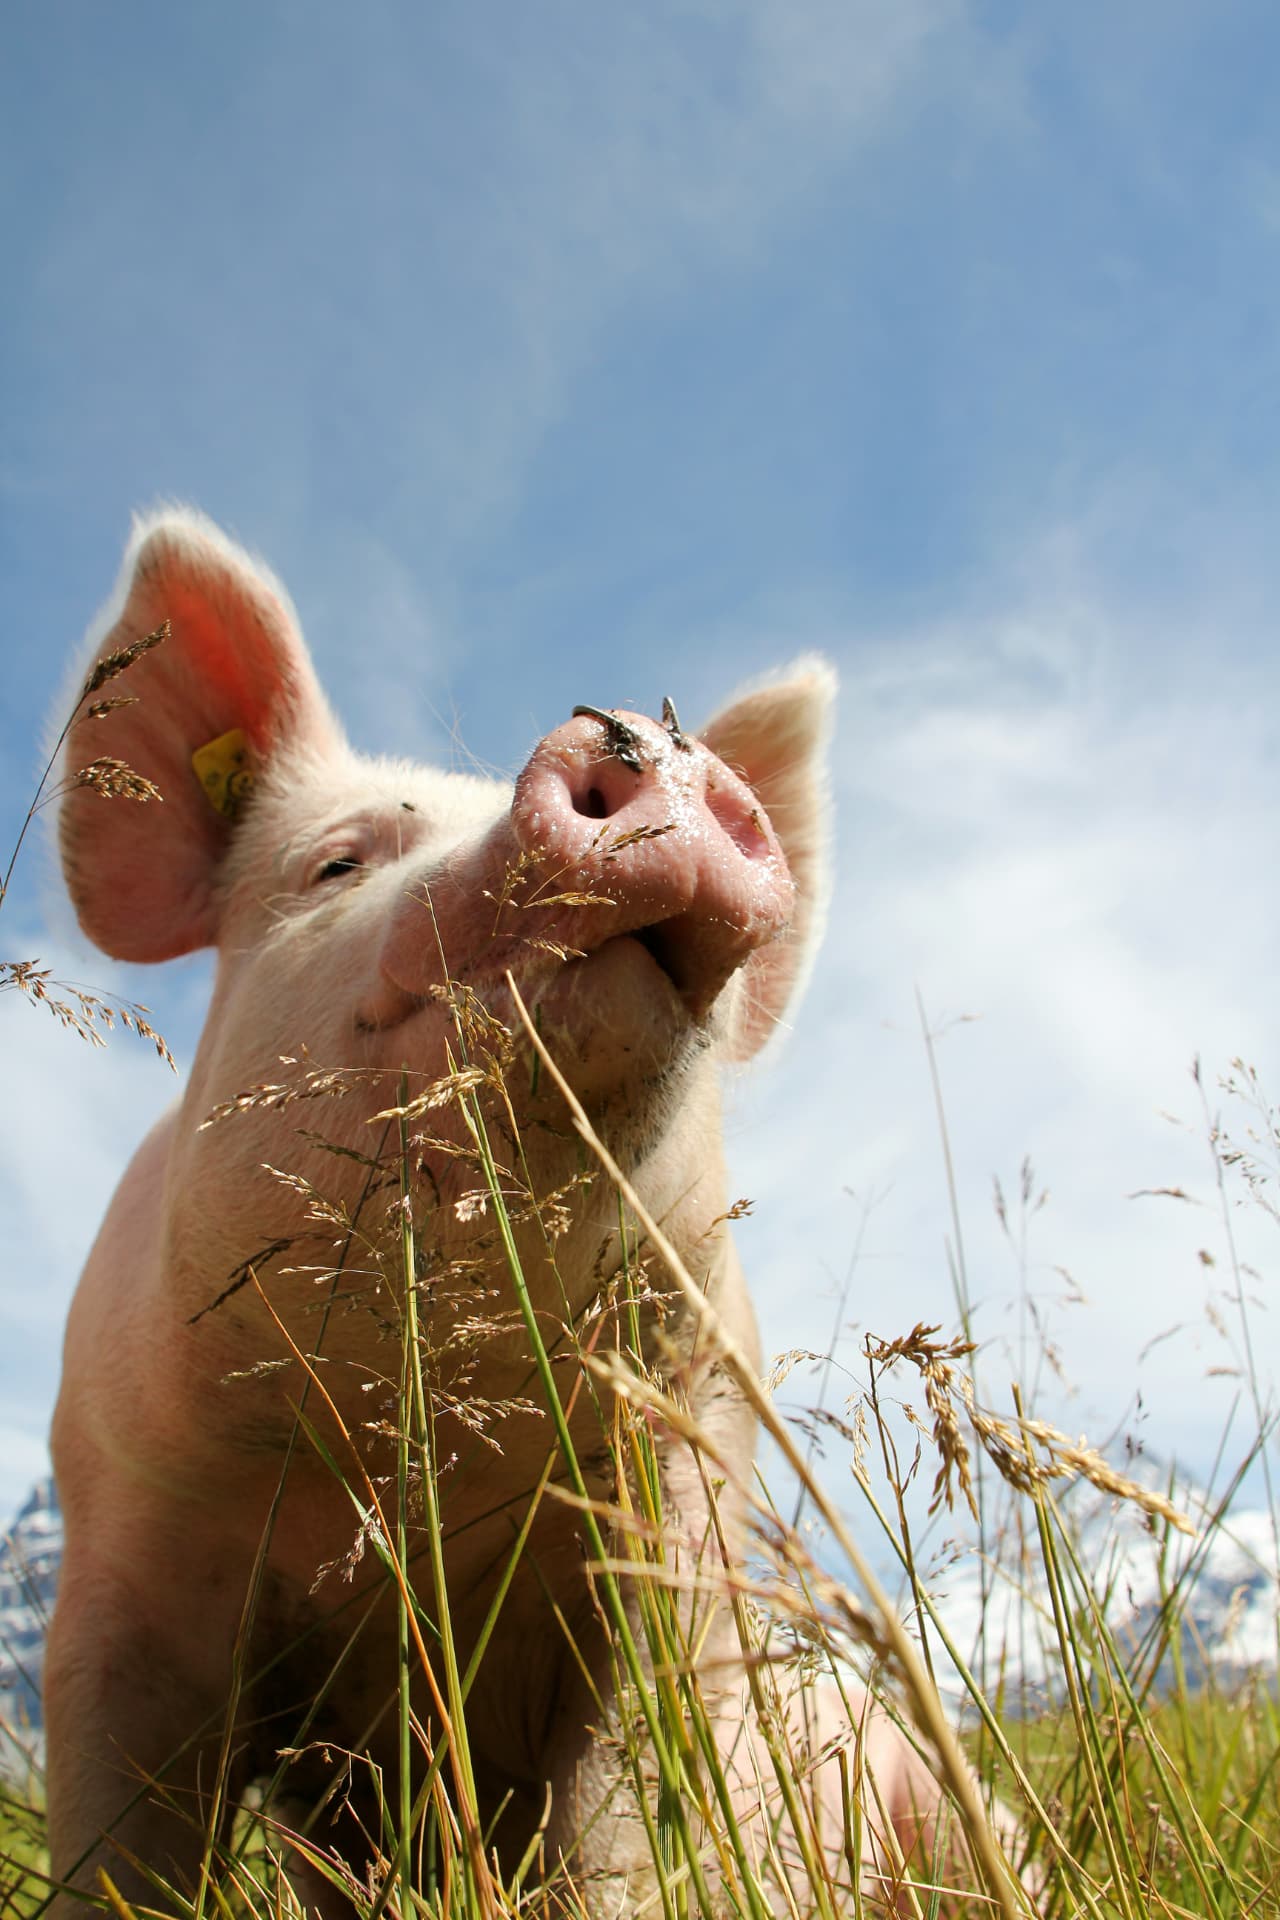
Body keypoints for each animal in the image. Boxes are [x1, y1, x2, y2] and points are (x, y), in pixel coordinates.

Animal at [44, 510, 974, 1918]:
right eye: (337, 862)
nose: (639, 738)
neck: (420, 1446)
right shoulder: (118, 1541)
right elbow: (118, 1848)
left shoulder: (672, 1514)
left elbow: (617, 1824)